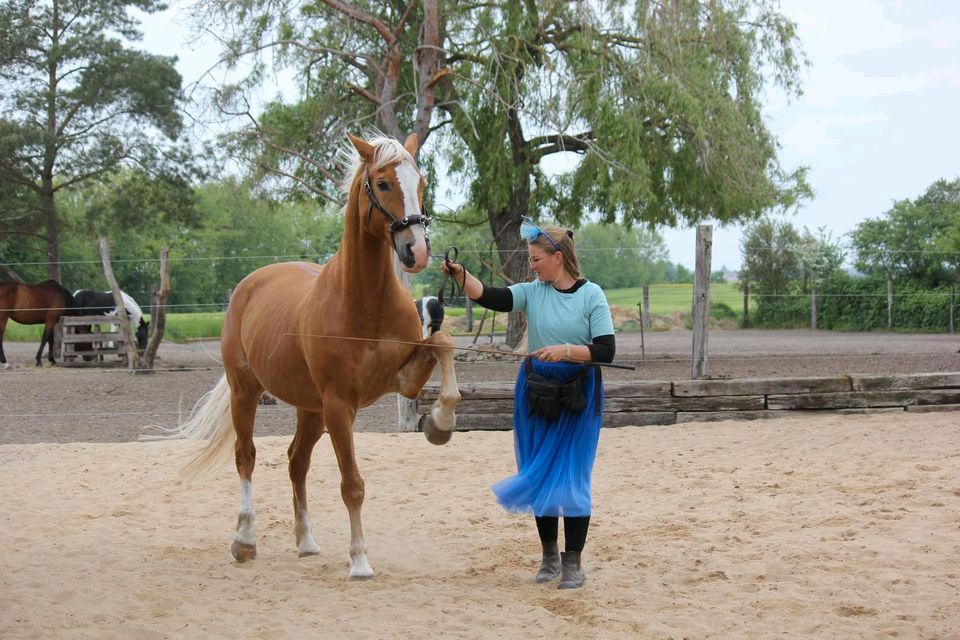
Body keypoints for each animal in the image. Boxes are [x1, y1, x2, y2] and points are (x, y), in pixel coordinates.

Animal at [172, 134, 462, 580]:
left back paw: (306, 542)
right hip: (247, 392)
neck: (364, 302)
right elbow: (352, 485)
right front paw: (359, 561)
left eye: (422, 182)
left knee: (296, 462)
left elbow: (443, 342)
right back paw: (244, 540)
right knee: (246, 457)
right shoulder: (340, 404)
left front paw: (440, 423)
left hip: (309, 409)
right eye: (382, 183)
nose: (417, 250)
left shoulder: (402, 380)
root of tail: (249, 285)